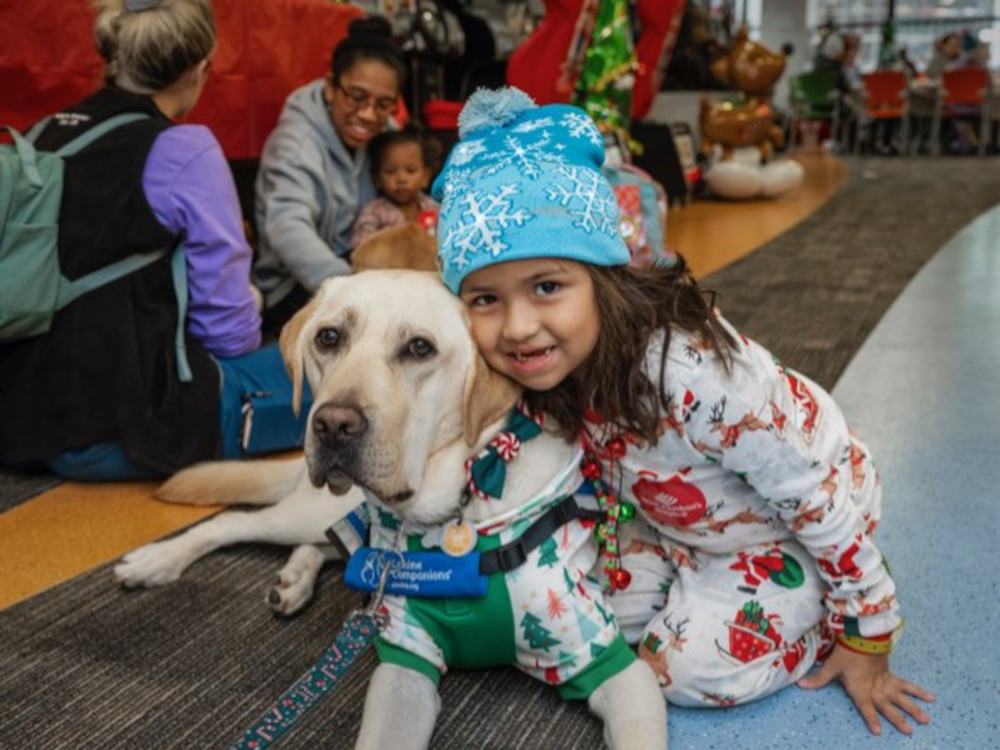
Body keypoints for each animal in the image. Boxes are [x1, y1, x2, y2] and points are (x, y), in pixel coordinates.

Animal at [115, 272, 664, 750]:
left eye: (419, 348)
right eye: (329, 337)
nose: (332, 424)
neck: (460, 507)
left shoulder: (604, 660)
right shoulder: (404, 662)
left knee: (327, 544)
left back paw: (292, 581)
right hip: (309, 509)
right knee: (234, 522)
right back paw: (156, 561)